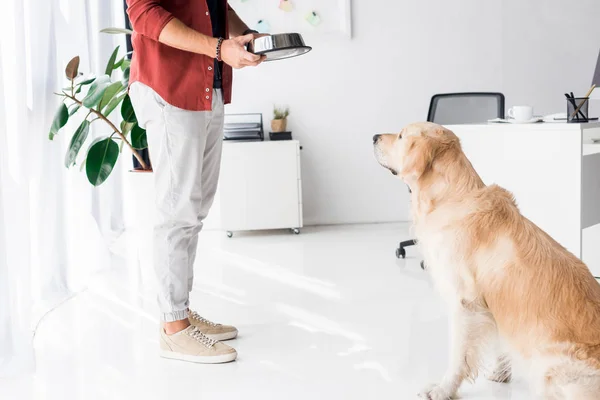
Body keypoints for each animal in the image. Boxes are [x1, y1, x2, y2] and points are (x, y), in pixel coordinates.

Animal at [376, 122, 600, 400]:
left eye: (400, 136)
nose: (374, 137)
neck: (451, 196)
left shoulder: (464, 302)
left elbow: (458, 356)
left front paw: (443, 389)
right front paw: (501, 373)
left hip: (551, 367)